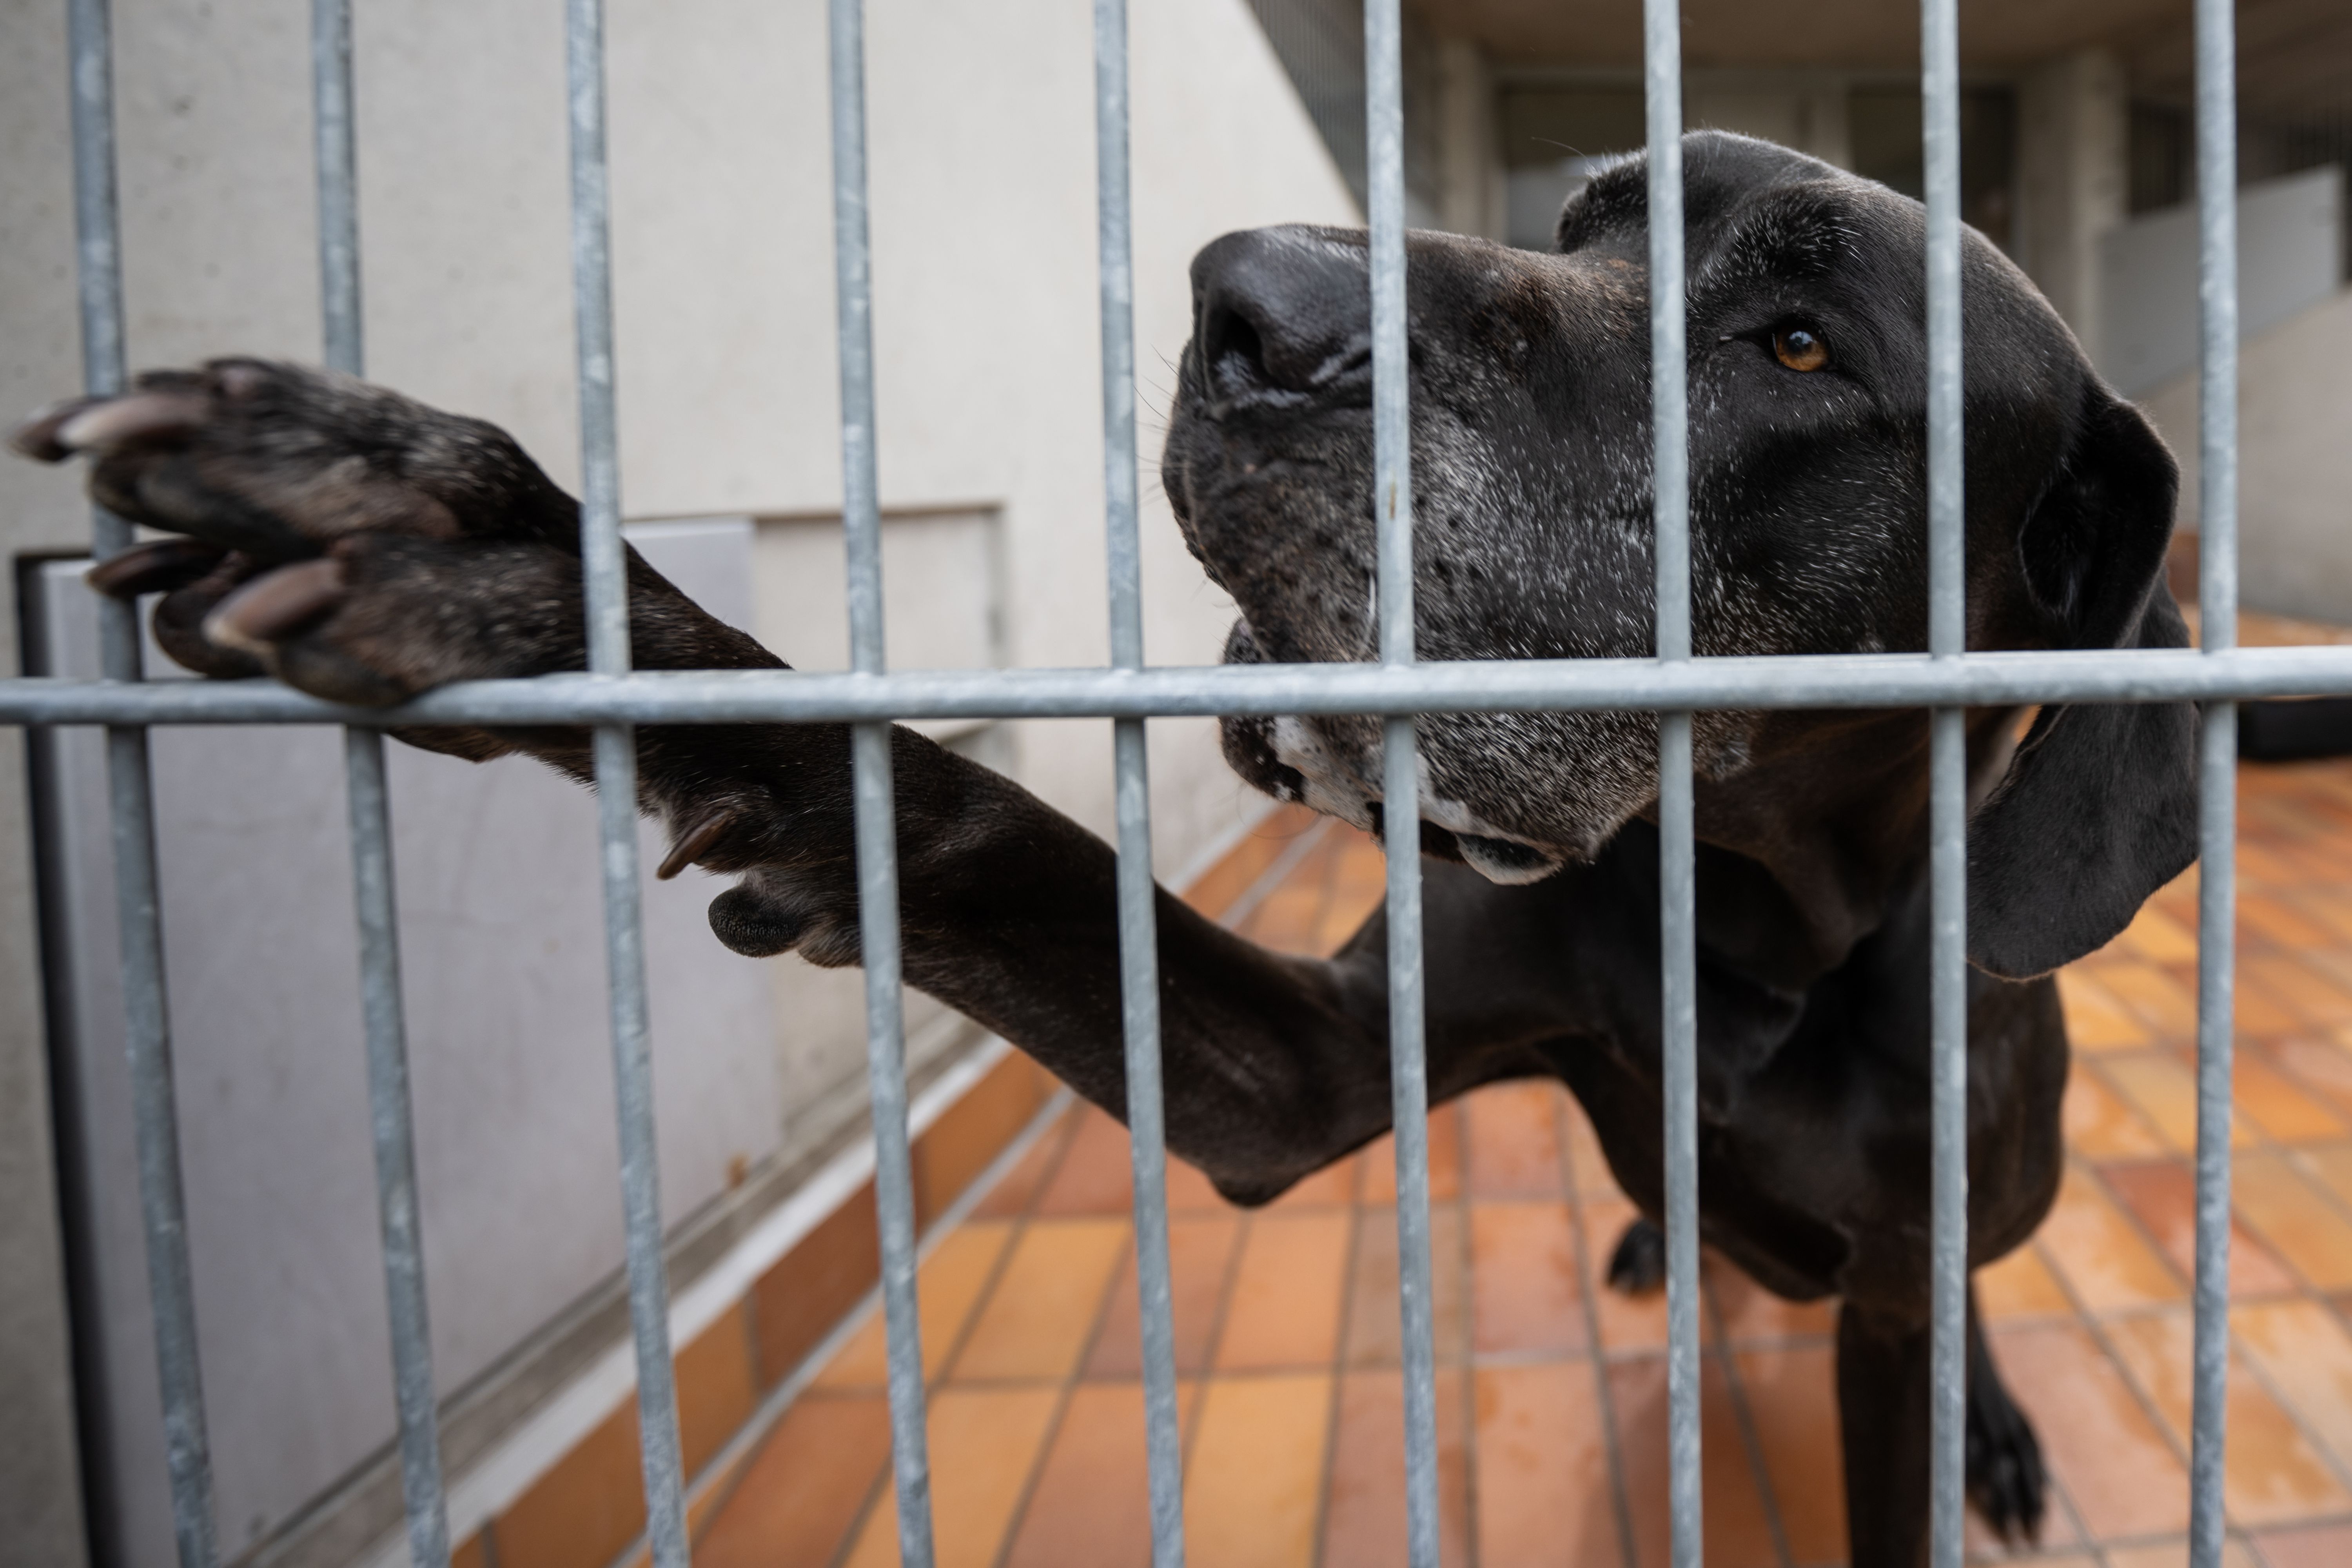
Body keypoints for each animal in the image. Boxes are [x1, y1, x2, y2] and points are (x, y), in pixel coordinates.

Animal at [18, 138, 2192, 1568]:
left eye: (1801, 348)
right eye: (1582, 220)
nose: (1247, 304)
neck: (1743, 925)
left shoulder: (1892, 1297)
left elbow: (1909, 1368)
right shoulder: (1298, 1072)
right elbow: (976, 819)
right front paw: (498, 555)